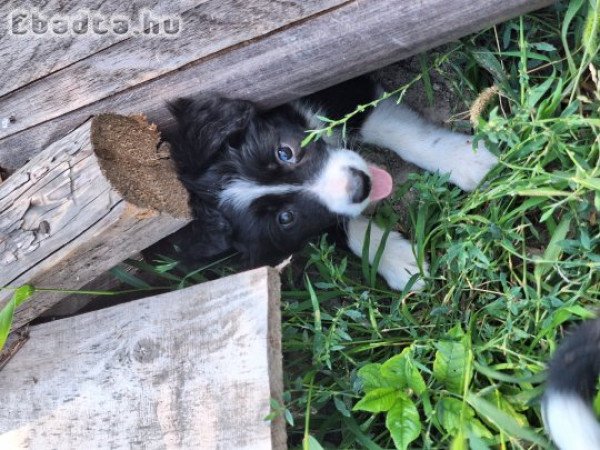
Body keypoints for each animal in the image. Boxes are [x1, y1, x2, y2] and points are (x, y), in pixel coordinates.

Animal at [165, 75, 496, 290]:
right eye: (286, 218)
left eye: (284, 152)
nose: (361, 186)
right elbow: (334, 224)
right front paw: (396, 259)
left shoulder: (346, 92)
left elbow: (398, 131)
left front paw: (466, 159)